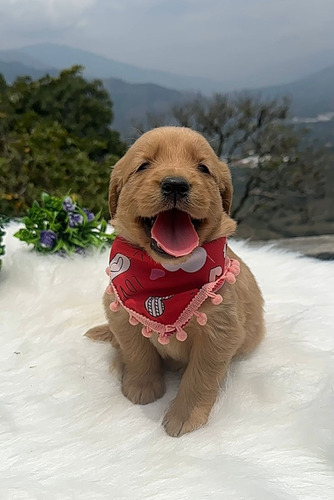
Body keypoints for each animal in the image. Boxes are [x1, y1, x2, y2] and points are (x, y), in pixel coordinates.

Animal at [85, 126, 264, 438]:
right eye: (143, 165)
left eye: (203, 168)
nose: (176, 185)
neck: (167, 276)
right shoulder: (120, 313)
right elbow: (137, 354)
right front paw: (142, 389)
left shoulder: (220, 332)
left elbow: (200, 377)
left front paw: (184, 418)